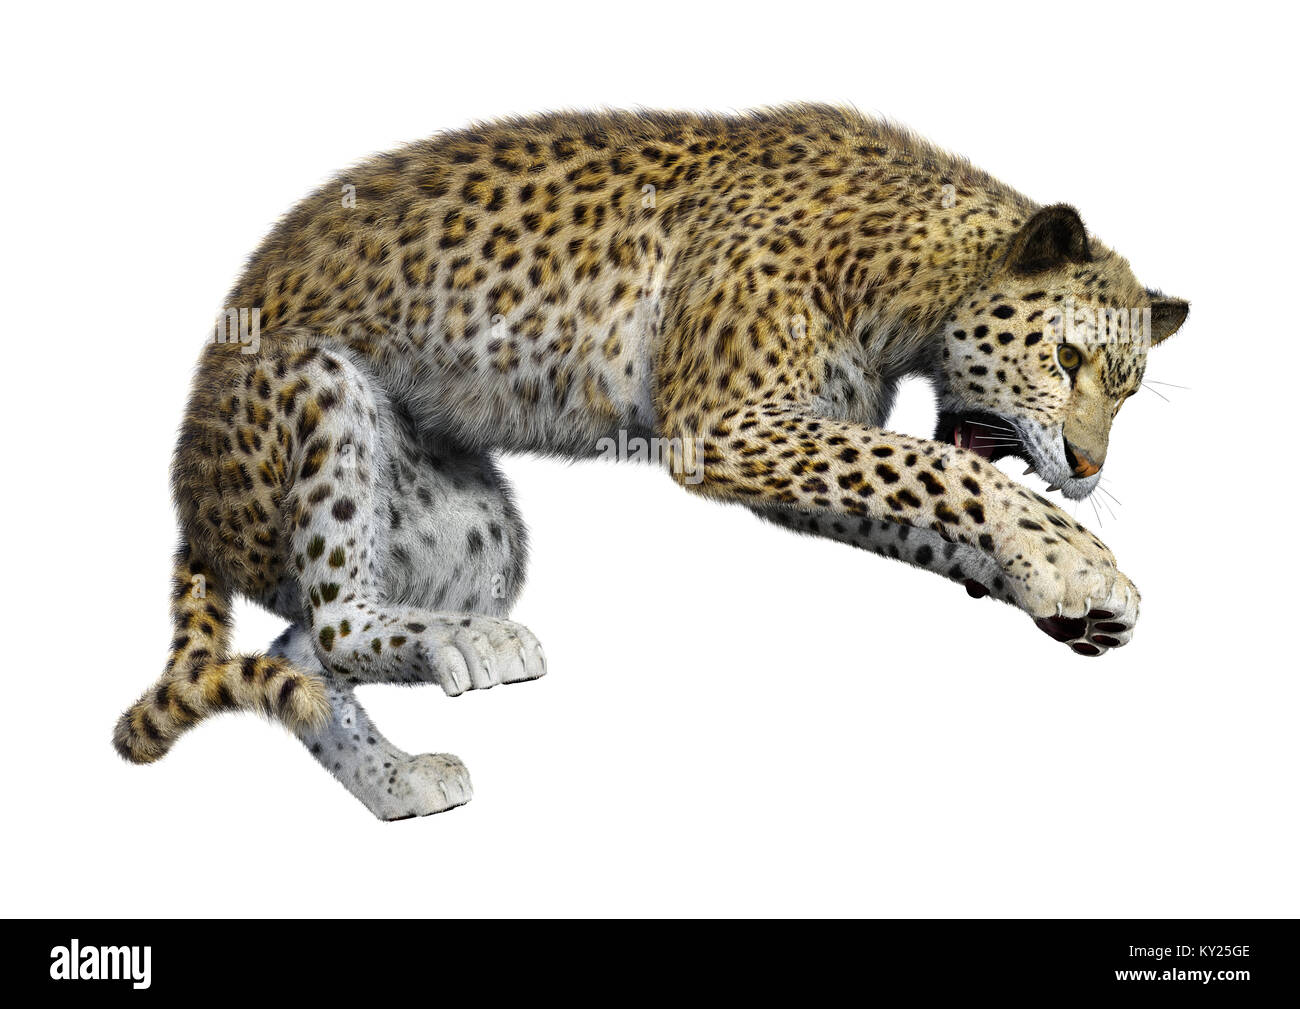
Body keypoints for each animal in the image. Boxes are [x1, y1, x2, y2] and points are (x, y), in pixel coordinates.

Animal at [113, 104, 1188, 820]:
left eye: (1130, 389)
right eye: (1067, 359)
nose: (1086, 465)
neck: (911, 279)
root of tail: (186, 496)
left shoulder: (789, 437)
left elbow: (918, 494)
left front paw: (1069, 594)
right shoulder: (730, 424)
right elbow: (947, 472)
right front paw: (1076, 560)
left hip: (478, 532)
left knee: (304, 646)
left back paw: (403, 774)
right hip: (314, 376)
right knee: (331, 619)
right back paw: (469, 652)